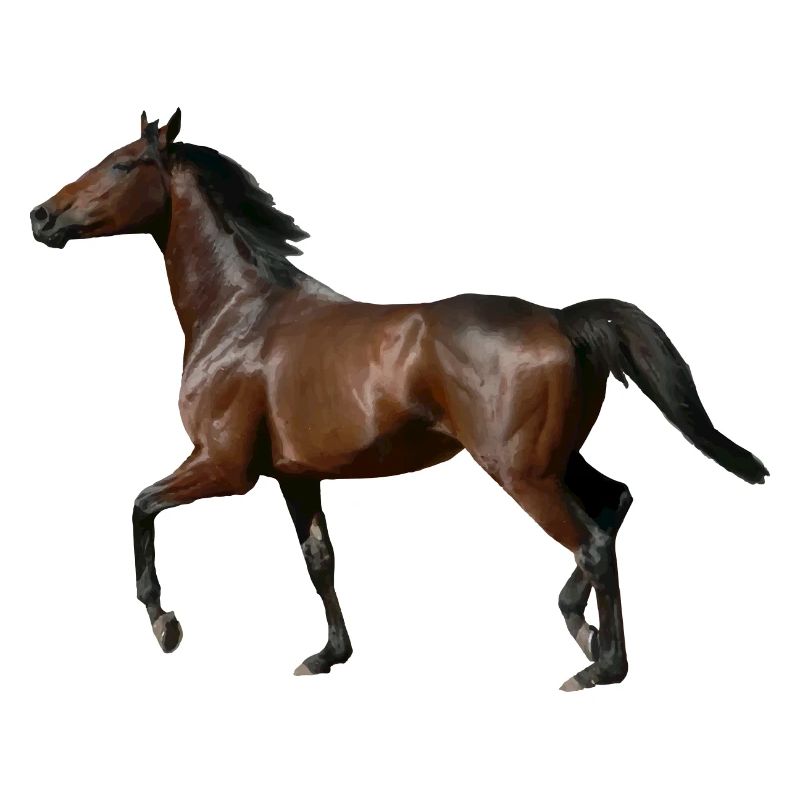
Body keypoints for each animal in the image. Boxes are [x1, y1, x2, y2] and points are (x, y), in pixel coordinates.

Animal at [30, 109, 768, 691]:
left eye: (122, 164)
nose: (41, 216)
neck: (240, 315)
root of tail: (564, 319)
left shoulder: (223, 467)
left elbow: (140, 506)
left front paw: (165, 624)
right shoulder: (295, 477)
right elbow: (320, 561)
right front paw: (328, 655)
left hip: (522, 473)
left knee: (590, 541)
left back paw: (597, 664)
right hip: (558, 460)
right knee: (615, 504)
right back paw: (585, 633)